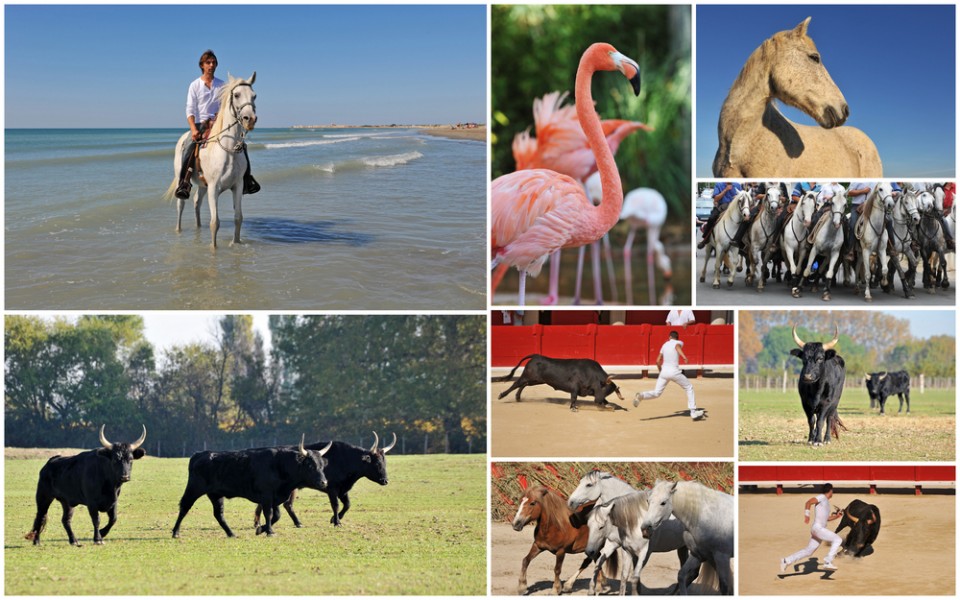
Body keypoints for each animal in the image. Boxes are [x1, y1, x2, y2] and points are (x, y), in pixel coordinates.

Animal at [165, 73, 256, 248]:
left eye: (254, 96)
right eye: (236, 95)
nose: (250, 119)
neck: (227, 150)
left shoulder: (237, 185)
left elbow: (238, 218)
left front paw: (236, 244)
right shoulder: (214, 188)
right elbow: (215, 223)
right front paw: (213, 249)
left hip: (202, 185)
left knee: (196, 202)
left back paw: (198, 227)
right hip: (183, 179)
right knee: (181, 205)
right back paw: (178, 230)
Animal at [496, 354, 624, 410]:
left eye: (608, 392)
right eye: (603, 387)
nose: (597, 401)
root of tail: (536, 356)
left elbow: (607, 401)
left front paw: (612, 406)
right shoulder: (575, 387)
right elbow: (573, 397)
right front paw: (573, 408)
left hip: (537, 380)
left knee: (524, 384)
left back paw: (518, 397)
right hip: (528, 376)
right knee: (516, 383)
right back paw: (502, 395)